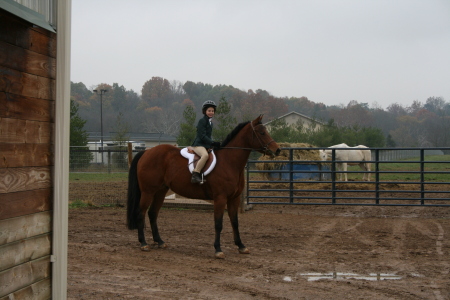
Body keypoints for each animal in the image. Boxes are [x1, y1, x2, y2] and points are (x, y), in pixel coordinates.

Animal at [126, 115, 280, 258]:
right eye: (262, 132)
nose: (277, 150)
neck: (229, 161)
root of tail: (147, 152)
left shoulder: (234, 198)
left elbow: (235, 222)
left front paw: (241, 246)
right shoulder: (220, 198)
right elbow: (218, 223)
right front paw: (218, 250)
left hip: (160, 191)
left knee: (153, 213)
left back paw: (160, 241)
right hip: (148, 191)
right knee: (141, 212)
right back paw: (144, 243)